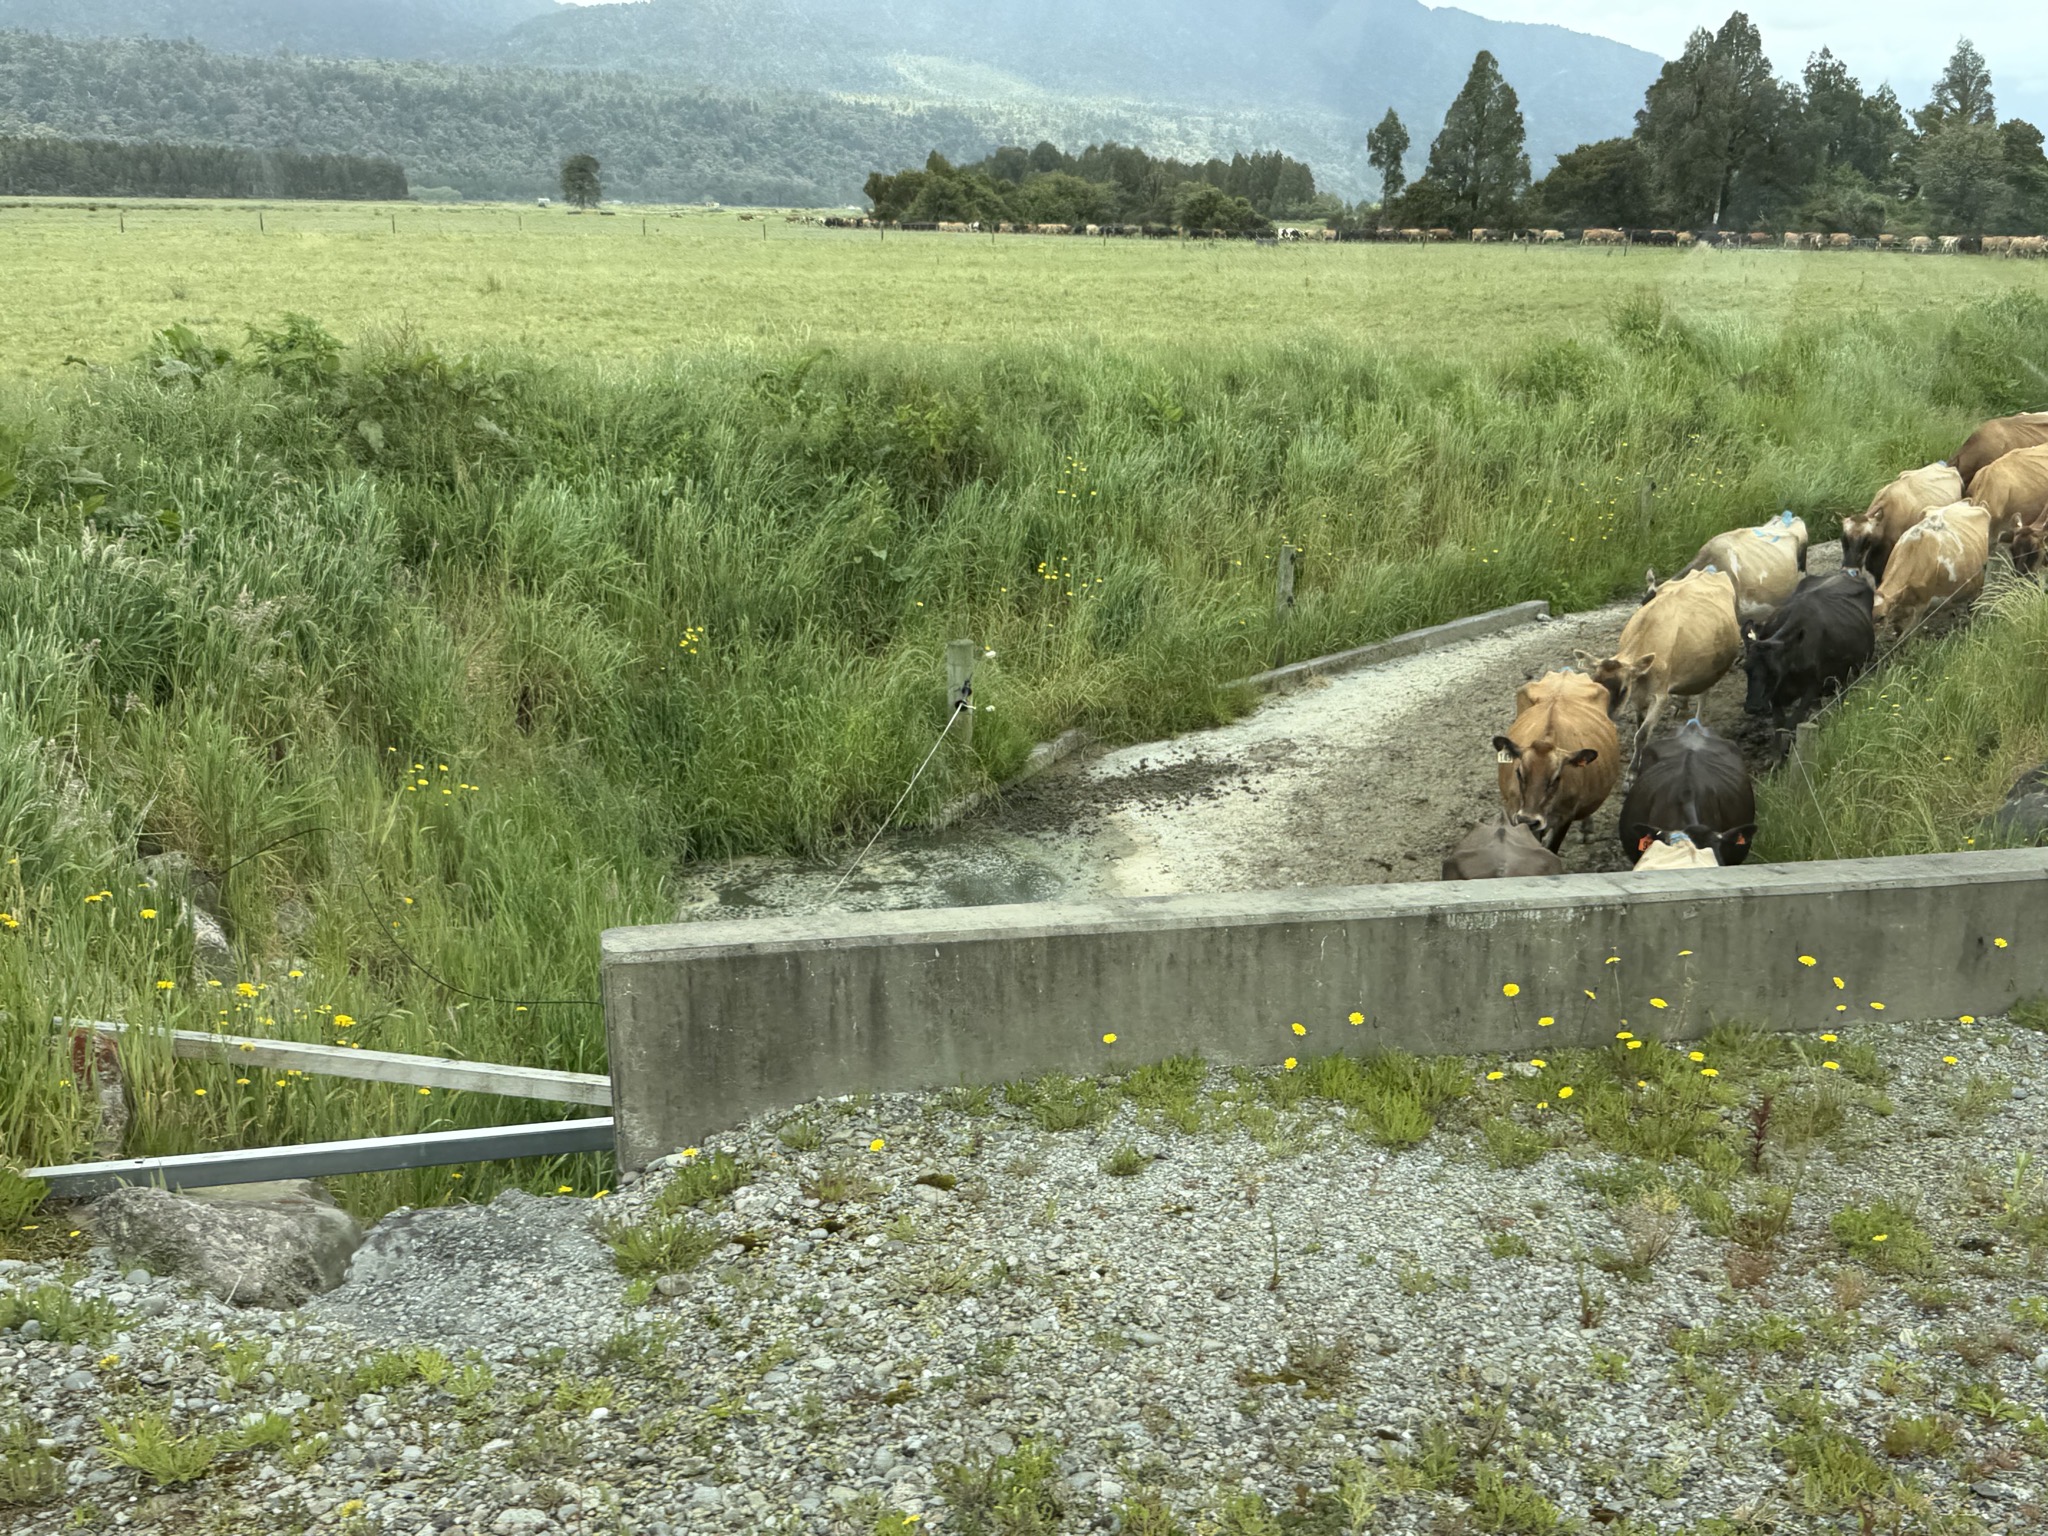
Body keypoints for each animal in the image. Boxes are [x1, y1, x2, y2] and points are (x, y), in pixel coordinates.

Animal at [1492, 670, 1621, 853]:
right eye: (1519, 773)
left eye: (1556, 777)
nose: (1529, 820)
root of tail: (1566, 673)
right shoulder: (1514, 812)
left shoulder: (1565, 817)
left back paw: (1586, 830)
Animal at [1582, 568, 1742, 747]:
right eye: (1594, 684)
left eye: (1622, 690)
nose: (1604, 717)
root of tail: (1708, 571)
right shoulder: (1637, 691)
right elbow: (1639, 722)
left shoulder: (1660, 695)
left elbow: (1642, 734)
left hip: (1712, 668)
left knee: (1704, 693)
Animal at [1741, 569, 1877, 730]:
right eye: (1745, 668)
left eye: (1774, 672)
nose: (1753, 707)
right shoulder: (1776, 696)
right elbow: (1779, 726)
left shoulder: (1813, 687)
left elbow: (1792, 723)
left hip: (1852, 672)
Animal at [1871, 502, 1992, 636]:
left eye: (1881, 617)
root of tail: (1965, 504)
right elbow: (1898, 628)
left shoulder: (1921, 606)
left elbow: (1907, 636)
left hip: (1980, 583)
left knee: (1974, 606)